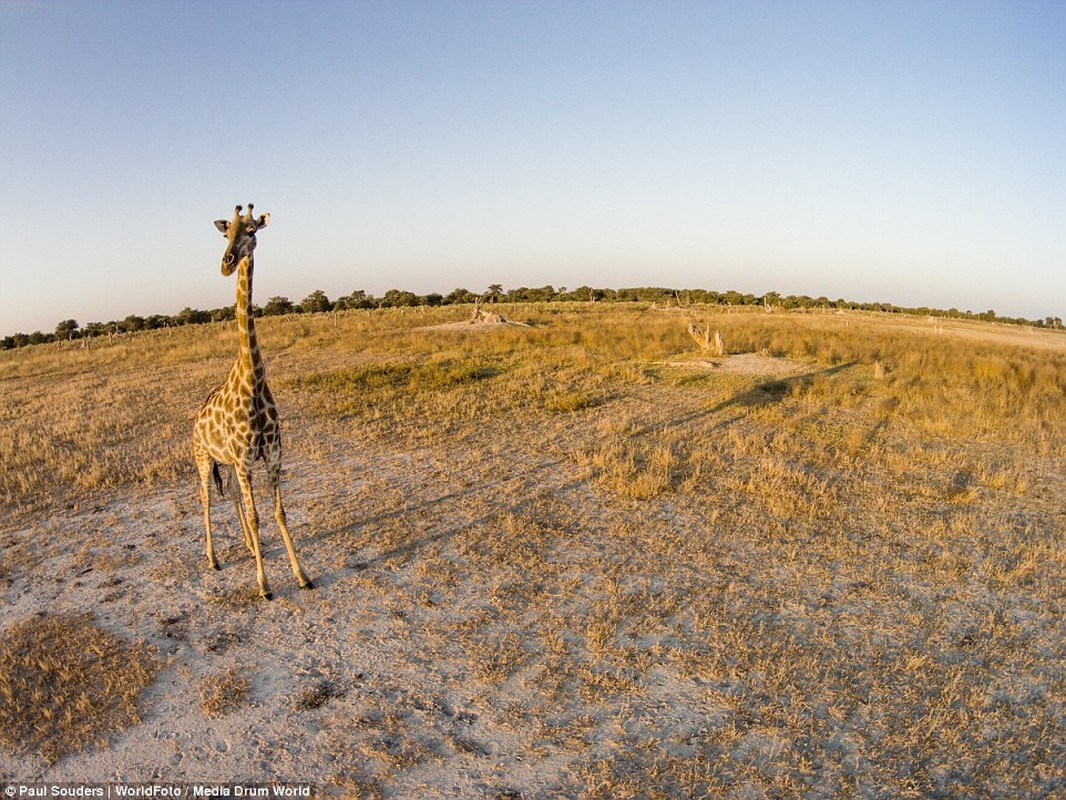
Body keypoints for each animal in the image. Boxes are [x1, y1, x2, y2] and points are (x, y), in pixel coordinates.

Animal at [191, 203, 311, 597]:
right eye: (225, 233)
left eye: (252, 232)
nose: (227, 263)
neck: (253, 381)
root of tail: (194, 420)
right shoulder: (245, 460)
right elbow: (259, 516)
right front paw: (264, 584)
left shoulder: (271, 455)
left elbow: (278, 513)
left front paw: (301, 574)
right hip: (203, 458)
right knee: (206, 498)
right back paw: (213, 558)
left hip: (227, 462)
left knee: (231, 493)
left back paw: (245, 544)